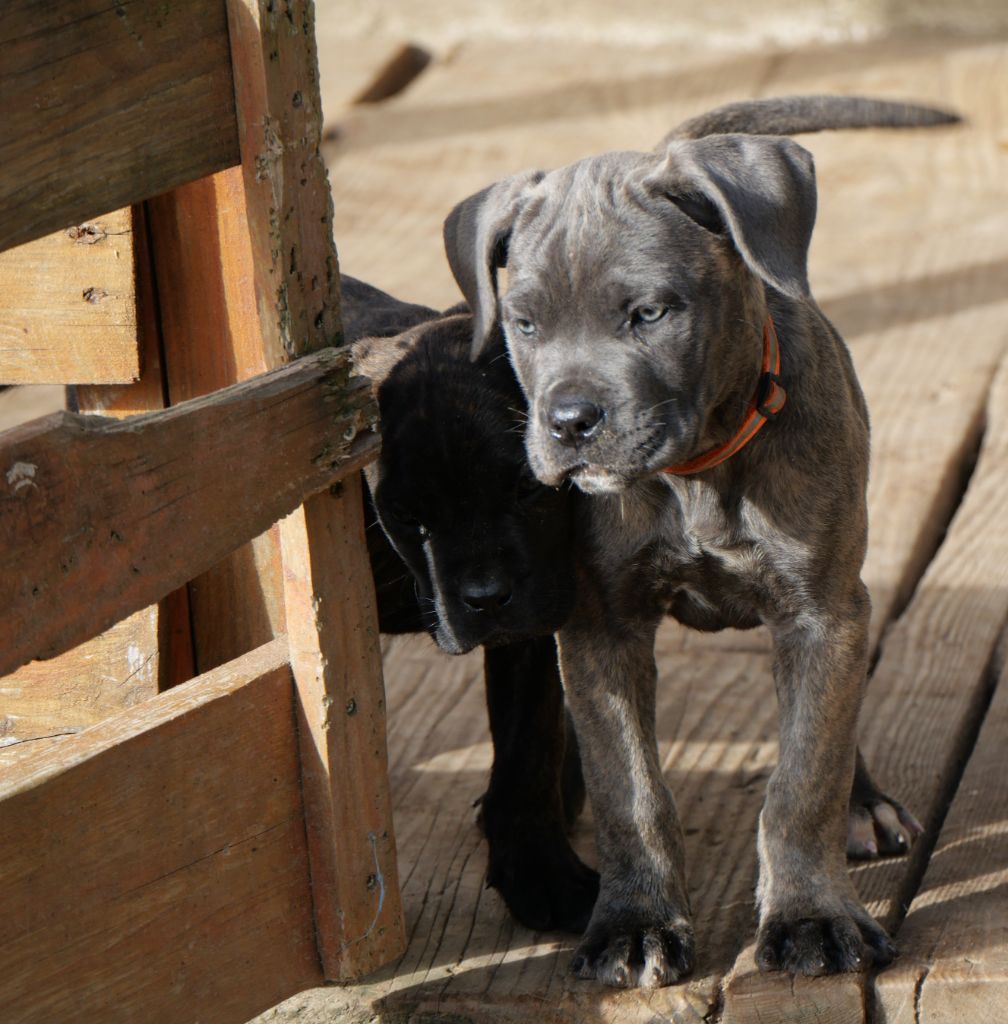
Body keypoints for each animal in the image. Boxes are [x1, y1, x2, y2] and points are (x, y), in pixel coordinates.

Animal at [442, 94, 955, 985]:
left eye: (649, 313)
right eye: (525, 324)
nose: (569, 423)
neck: (695, 473)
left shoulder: (819, 611)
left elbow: (804, 775)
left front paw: (811, 916)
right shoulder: (601, 630)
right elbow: (631, 790)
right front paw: (635, 924)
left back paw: (862, 802)